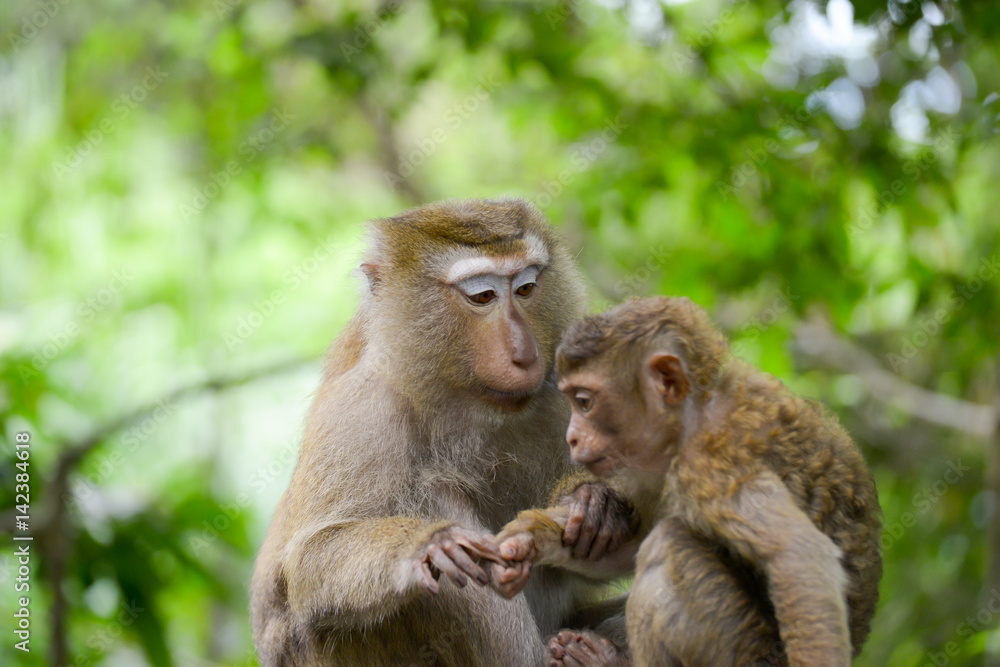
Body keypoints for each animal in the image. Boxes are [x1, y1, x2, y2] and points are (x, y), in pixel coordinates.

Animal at [250, 200, 632, 667]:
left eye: (525, 289)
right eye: (483, 296)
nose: (524, 353)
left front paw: (593, 502)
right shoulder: (362, 411)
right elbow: (309, 561)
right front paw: (429, 545)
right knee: (433, 494)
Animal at [494, 298, 884, 667]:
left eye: (584, 402)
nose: (572, 437)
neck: (691, 414)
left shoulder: (714, 461)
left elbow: (797, 556)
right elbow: (631, 544)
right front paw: (529, 540)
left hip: (744, 649)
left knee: (668, 546)